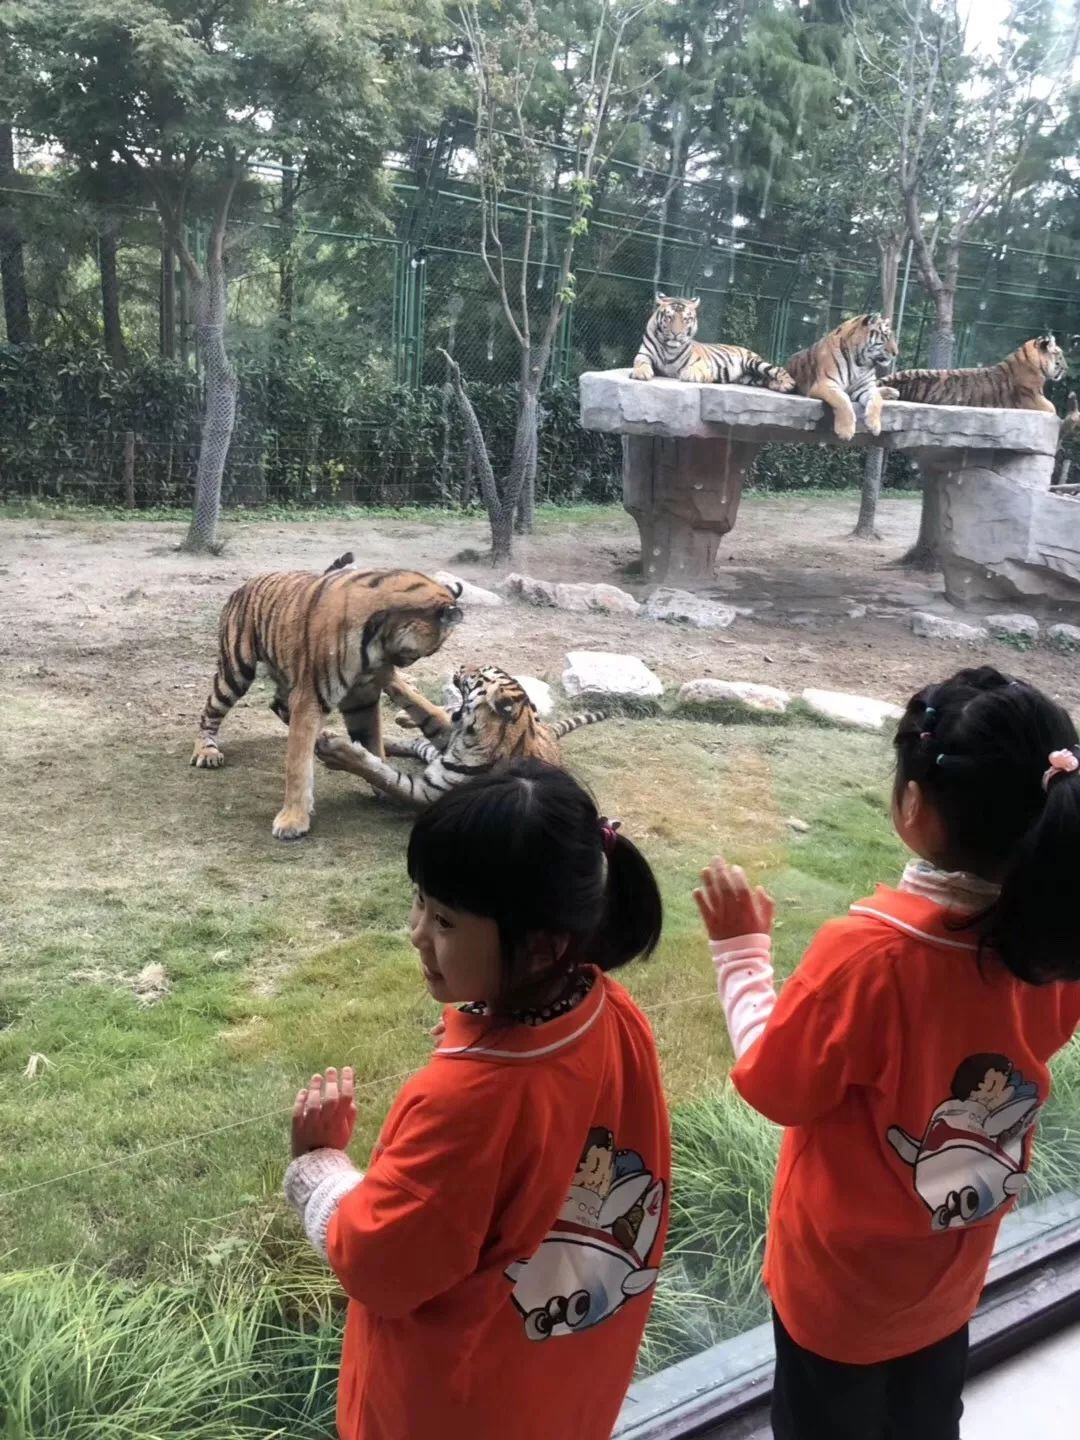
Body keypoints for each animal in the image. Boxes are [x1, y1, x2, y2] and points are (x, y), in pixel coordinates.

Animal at [191, 555, 466, 840]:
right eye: (431, 650)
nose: (397, 667)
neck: (377, 637)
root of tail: (247, 583)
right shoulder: (311, 695)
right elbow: (298, 764)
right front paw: (293, 820)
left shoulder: (363, 698)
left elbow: (373, 744)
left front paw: (382, 783)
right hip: (236, 670)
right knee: (211, 710)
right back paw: (206, 751)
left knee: (278, 704)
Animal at [316, 662, 610, 812]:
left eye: (478, 674)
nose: (461, 665)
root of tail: (548, 732)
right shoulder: (449, 733)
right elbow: (420, 704)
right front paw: (386, 672)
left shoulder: (423, 793)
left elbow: (381, 774)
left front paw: (333, 751)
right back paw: (397, 725)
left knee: (419, 740)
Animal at [630, 295, 800, 391]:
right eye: (669, 317)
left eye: (686, 319)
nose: (676, 333)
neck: (669, 348)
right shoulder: (644, 355)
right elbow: (640, 362)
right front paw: (640, 372)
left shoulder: (701, 363)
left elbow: (696, 369)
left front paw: (690, 374)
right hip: (750, 378)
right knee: (765, 379)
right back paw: (776, 385)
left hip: (754, 363)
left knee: (778, 370)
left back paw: (788, 384)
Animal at [789, 306, 904, 434]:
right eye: (885, 336)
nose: (896, 353)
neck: (860, 362)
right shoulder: (826, 384)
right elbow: (842, 400)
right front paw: (846, 431)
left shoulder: (866, 387)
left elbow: (876, 400)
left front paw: (874, 425)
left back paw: (892, 392)